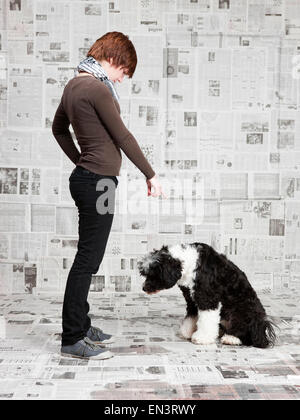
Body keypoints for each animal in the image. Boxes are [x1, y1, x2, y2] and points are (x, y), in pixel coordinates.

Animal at [137, 243, 276, 348]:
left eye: (153, 275)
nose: (144, 288)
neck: (190, 263)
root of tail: (263, 324)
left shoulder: (207, 299)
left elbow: (206, 320)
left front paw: (202, 337)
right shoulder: (192, 300)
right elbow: (192, 317)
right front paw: (187, 331)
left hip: (242, 311)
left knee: (245, 332)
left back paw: (231, 338)